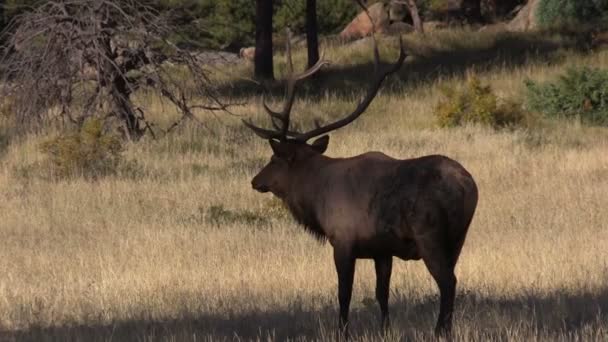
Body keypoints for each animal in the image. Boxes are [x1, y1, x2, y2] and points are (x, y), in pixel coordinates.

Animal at [243, 32, 480, 336]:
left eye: (274, 159)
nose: (255, 181)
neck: (316, 196)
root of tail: (467, 185)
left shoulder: (343, 240)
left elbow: (344, 294)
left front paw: (342, 331)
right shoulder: (382, 250)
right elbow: (382, 293)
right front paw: (385, 329)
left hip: (430, 234)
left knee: (448, 282)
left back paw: (440, 331)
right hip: (459, 236)